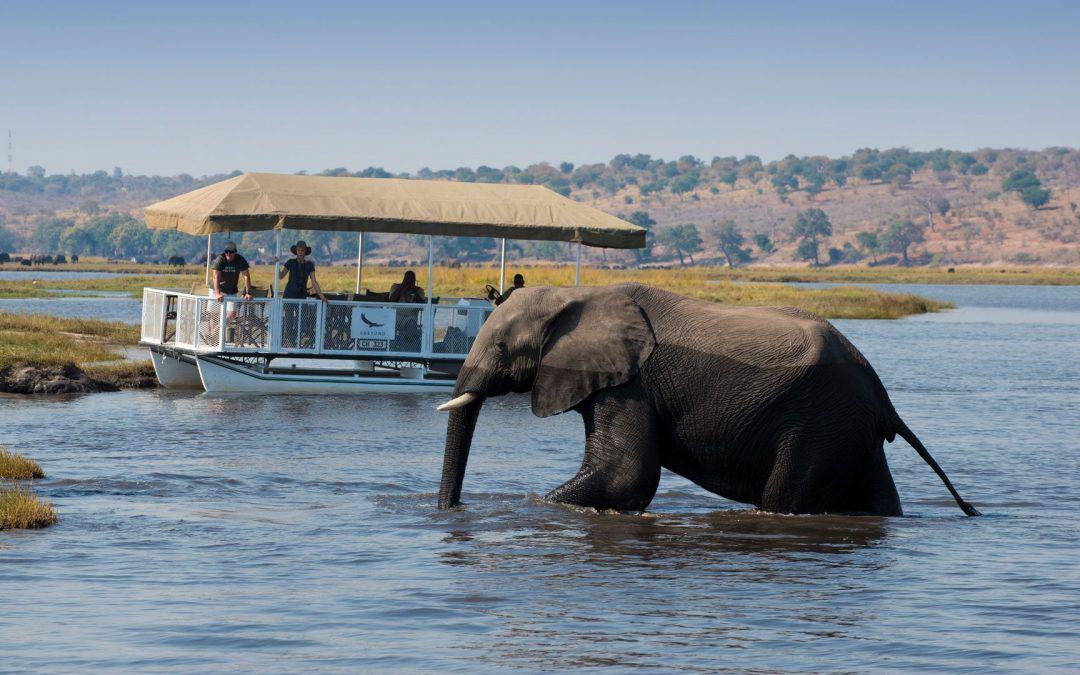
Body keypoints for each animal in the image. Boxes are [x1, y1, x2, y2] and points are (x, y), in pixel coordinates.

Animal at [436, 283, 980, 517]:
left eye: (500, 347)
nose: (451, 510)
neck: (577, 295)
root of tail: (882, 395)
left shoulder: (632, 382)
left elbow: (626, 474)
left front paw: (534, 506)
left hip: (820, 425)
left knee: (786, 499)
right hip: (850, 431)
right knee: (878, 500)